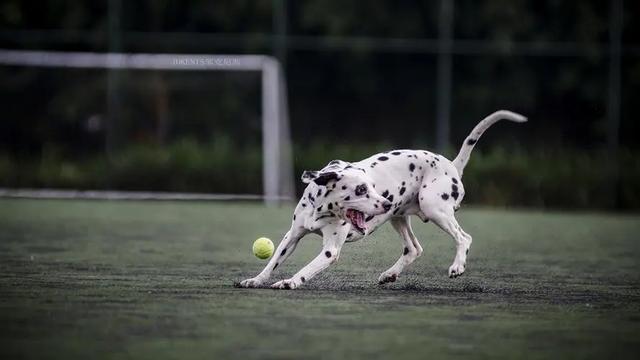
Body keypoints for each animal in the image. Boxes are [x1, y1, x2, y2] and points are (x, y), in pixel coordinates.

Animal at [238, 109, 528, 290]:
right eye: (360, 190)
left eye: (370, 186)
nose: (385, 202)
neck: (322, 210)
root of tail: (451, 165)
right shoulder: (292, 236)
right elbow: (273, 262)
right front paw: (256, 280)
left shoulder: (330, 250)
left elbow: (306, 270)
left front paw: (290, 282)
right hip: (399, 219)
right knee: (414, 249)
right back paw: (390, 274)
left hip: (435, 208)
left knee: (463, 238)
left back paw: (457, 266)